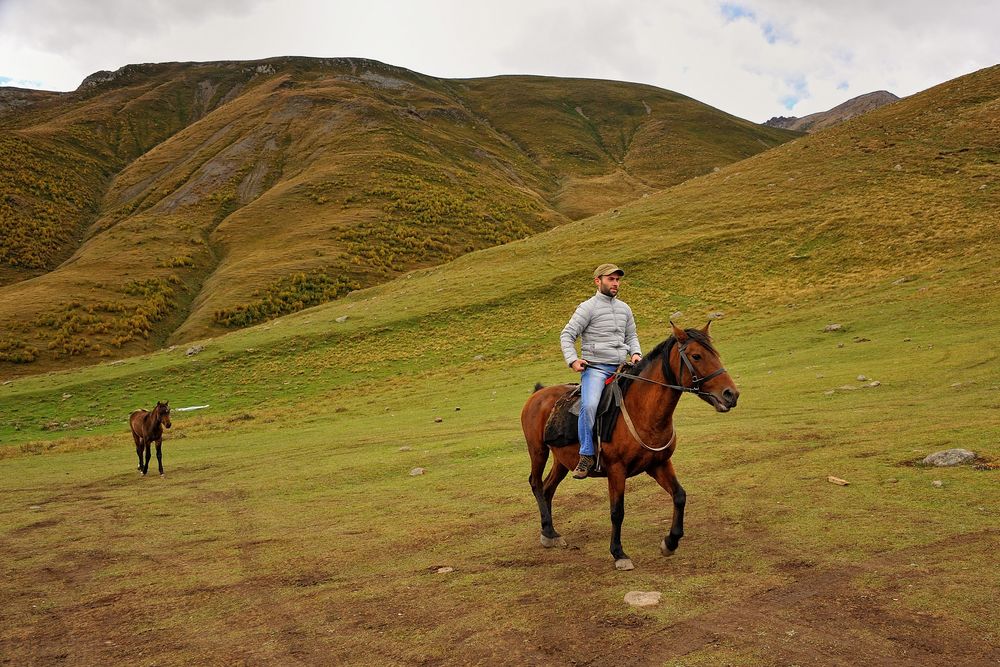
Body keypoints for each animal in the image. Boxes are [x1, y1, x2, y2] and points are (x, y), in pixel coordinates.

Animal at [524, 322, 736, 568]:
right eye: (696, 356)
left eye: (715, 354)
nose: (731, 394)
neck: (642, 411)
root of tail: (539, 393)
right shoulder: (616, 470)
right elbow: (617, 511)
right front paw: (618, 553)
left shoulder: (659, 464)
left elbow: (680, 496)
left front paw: (670, 542)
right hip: (538, 451)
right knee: (536, 484)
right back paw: (548, 533)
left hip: (562, 460)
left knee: (548, 488)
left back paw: (550, 532)